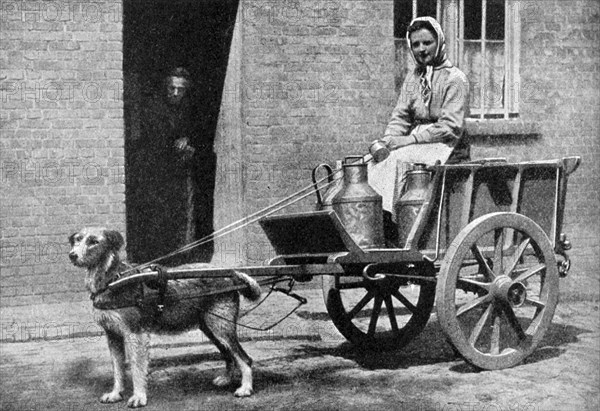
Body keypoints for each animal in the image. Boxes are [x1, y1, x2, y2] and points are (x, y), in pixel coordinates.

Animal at [68, 229, 260, 408]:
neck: (113, 279)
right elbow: (118, 369)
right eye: (78, 239)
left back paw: (245, 388)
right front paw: (116, 394)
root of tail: (231, 275)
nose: (72, 255)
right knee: (228, 354)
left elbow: (137, 368)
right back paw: (226, 378)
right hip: (210, 328)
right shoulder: (113, 335)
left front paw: (138, 397)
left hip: (222, 327)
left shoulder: (135, 334)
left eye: (94, 241)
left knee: (244, 358)